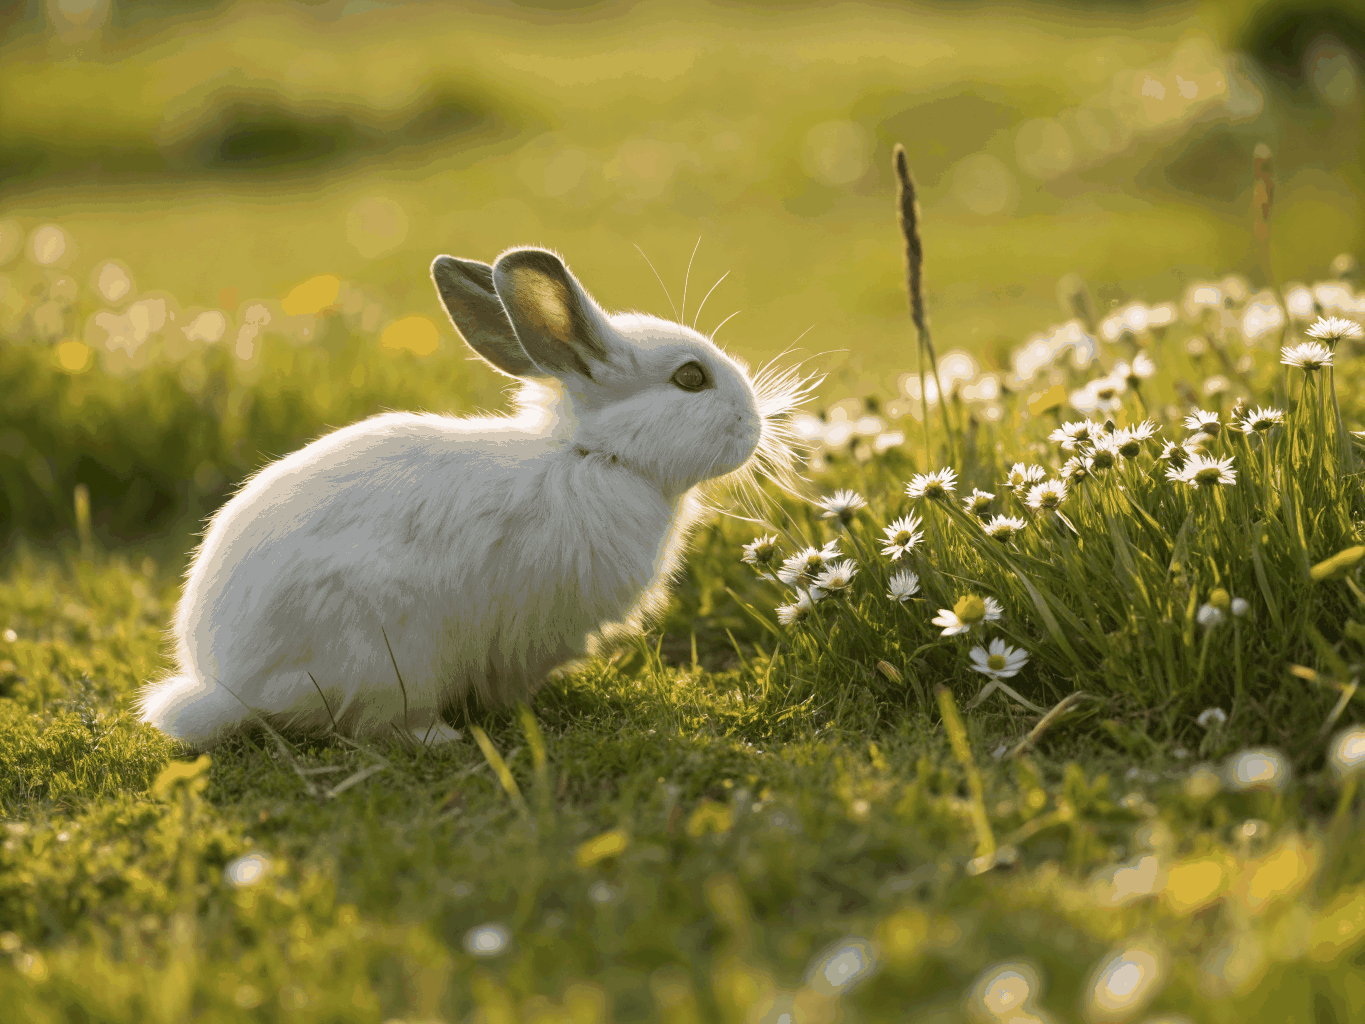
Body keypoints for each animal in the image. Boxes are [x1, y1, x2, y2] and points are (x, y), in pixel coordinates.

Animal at [137, 245, 807, 750]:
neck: (595, 455)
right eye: (691, 378)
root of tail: (225, 687)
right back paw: (438, 736)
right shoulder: (529, 634)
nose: (757, 423)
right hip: (388, 653)